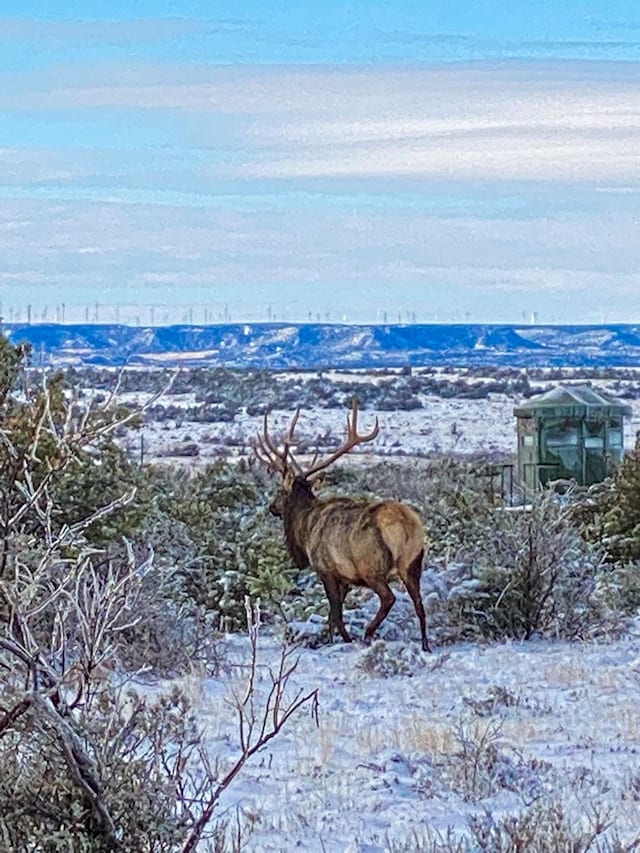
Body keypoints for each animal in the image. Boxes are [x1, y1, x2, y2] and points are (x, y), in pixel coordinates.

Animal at [255, 402, 430, 648]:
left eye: (280, 491)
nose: (272, 507)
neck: (304, 529)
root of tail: (405, 525)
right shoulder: (346, 578)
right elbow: (332, 615)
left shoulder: (326, 569)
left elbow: (336, 614)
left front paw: (341, 640)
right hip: (413, 565)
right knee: (420, 605)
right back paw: (425, 645)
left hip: (372, 567)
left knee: (389, 598)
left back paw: (368, 632)